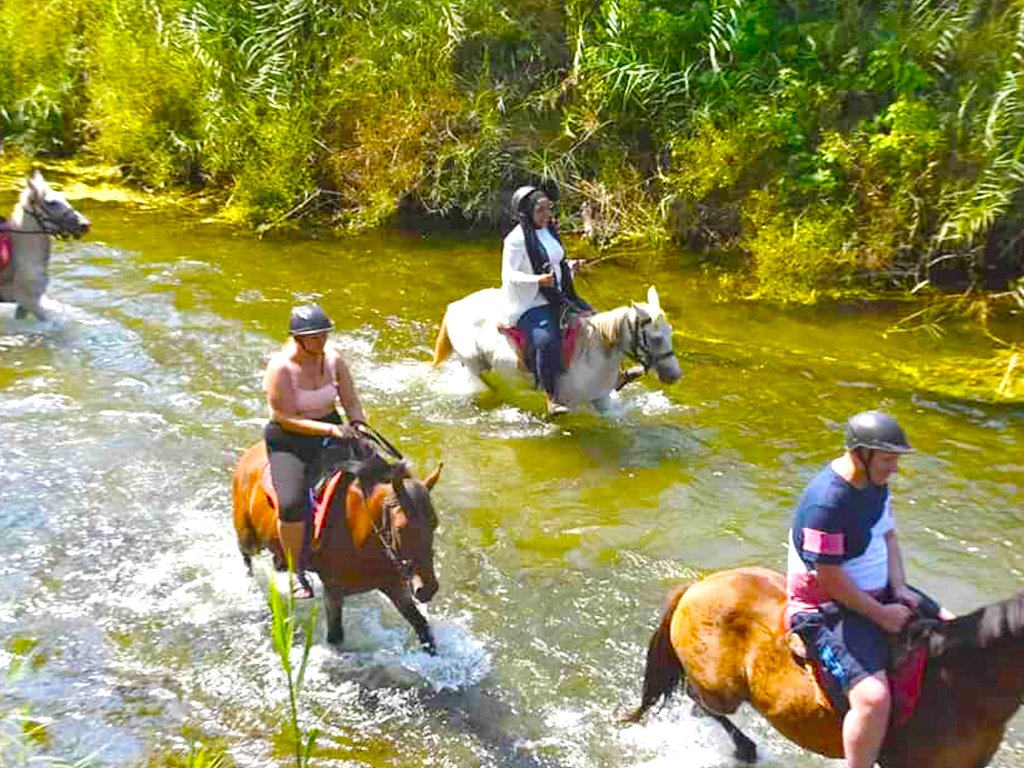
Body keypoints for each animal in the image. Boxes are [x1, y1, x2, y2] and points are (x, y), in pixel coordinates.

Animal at [235, 438, 444, 655]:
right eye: (401, 528)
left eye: (434, 523)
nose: (428, 588)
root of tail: (250, 454)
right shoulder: (333, 589)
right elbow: (336, 636)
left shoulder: (394, 586)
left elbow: (422, 626)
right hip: (249, 539)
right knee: (246, 558)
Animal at [430, 284, 679, 415]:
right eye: (656, 339)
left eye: (670, 332)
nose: (675, 376)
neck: (594, 350)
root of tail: (455, 306)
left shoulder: (601, 398)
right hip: (473, 363)